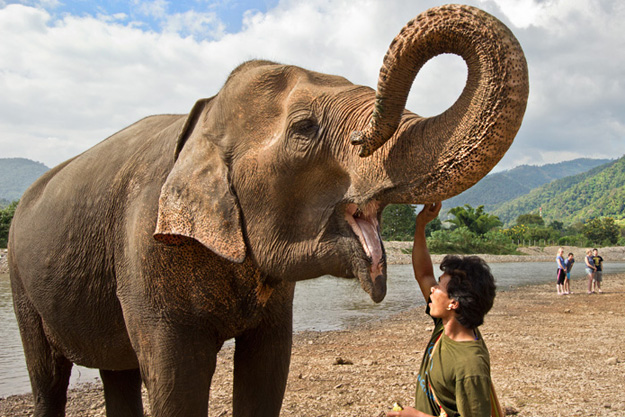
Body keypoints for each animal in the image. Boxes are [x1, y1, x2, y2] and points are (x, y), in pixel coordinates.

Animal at [8, 4, 528, 416]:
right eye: (304, 128)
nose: (364, 136)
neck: (202, 121)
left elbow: (268, 368)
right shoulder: (146, 251)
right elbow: (176, 379)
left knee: (116, 370)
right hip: (20, 279)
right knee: (48, 376)